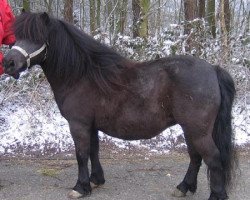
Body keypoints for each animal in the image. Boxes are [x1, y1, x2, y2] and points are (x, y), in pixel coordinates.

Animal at [3, 12, 236, 200]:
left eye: (37, 36)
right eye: (17, 35)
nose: (8, 63)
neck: (81, 75)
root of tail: (212, 69)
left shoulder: (78, 124)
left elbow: (81, 154)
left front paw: (80, 187)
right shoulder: (91, 125)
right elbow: (93, 150)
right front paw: (96, 180)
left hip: (198, 130)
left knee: (213, 158)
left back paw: (216, 195)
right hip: (190, 129)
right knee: (196, 157)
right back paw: (184, 187)